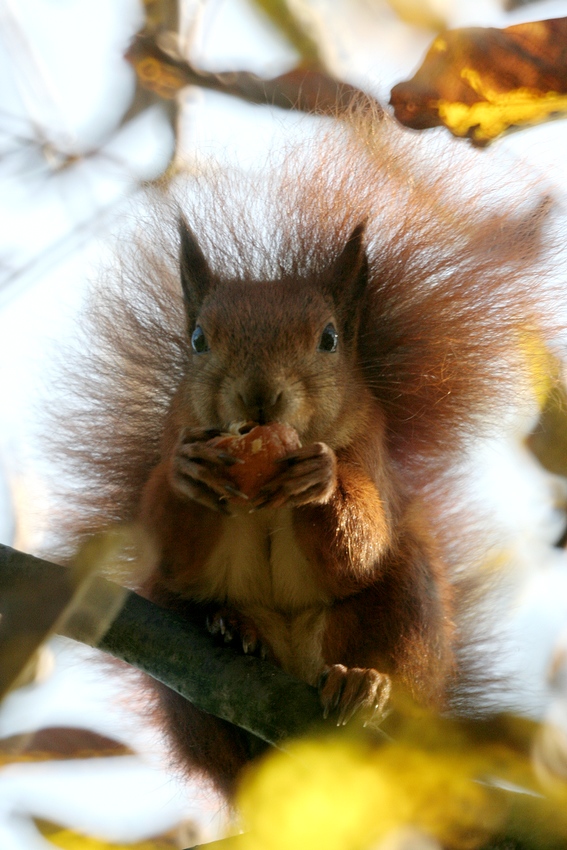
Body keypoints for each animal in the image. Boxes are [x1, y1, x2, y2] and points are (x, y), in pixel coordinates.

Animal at [53, 106, 560, 796]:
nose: (260, 396)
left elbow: (359, 542)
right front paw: (188, 475)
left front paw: (323, 480)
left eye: (329, 338)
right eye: (197, 339)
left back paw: (363, 685)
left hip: (406, 609)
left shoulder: (371, 456)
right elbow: (170, 543)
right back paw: (233, 632)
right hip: (174, 653)